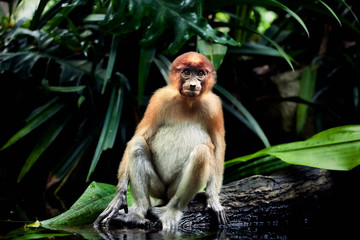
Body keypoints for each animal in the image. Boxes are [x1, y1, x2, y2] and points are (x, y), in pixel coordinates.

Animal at [94, 51, 229, 232]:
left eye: (200, 73)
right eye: (186, 72)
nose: (193, 85)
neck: (188, 102)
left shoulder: (214, 106)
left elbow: (218, 146)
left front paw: (213, 198)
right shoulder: (159, 98)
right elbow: (139, 136)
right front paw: (119, 196)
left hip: (172, 190)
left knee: (202, 153)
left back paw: (171, 210)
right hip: (157, 187)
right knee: (137, 146)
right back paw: (138, 213)